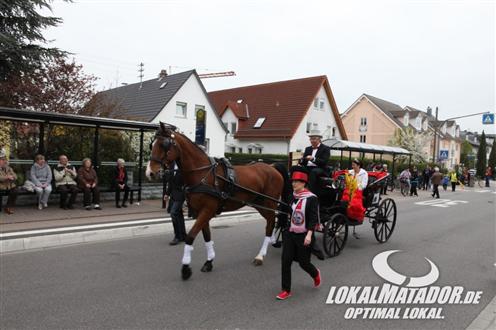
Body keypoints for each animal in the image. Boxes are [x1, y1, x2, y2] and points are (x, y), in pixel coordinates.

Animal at [144, 122, 290, 280]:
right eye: (152, 145)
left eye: (164, 144)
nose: (150, 173)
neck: (203, 174)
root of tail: (272, 167)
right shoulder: (200, 212)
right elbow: (207, 236)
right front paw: (209, 262)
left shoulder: (207, 210)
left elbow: (191, 236)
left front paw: (186, 268)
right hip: (260, 204)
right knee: (272, 221)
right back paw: (271, 243)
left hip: (269, 203)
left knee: (270, 223)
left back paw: (260, 256)